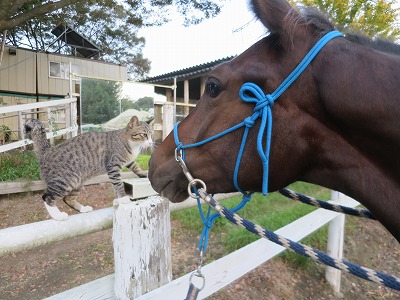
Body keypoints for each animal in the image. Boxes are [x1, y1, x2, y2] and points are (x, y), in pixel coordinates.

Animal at [24, 115, 153, 220]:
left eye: (151, 135)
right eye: (144, 135)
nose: (151, 143)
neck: (130, 143)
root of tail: (46, 151)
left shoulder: (128, 162)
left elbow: (135, 166)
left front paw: (143, 174)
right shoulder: (113, 166)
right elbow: (118, 183)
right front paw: (123, 198)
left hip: (77, 182)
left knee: (68, 199)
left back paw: (83, 209)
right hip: (66, 181)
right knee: (47, 197)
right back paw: (58, 215)